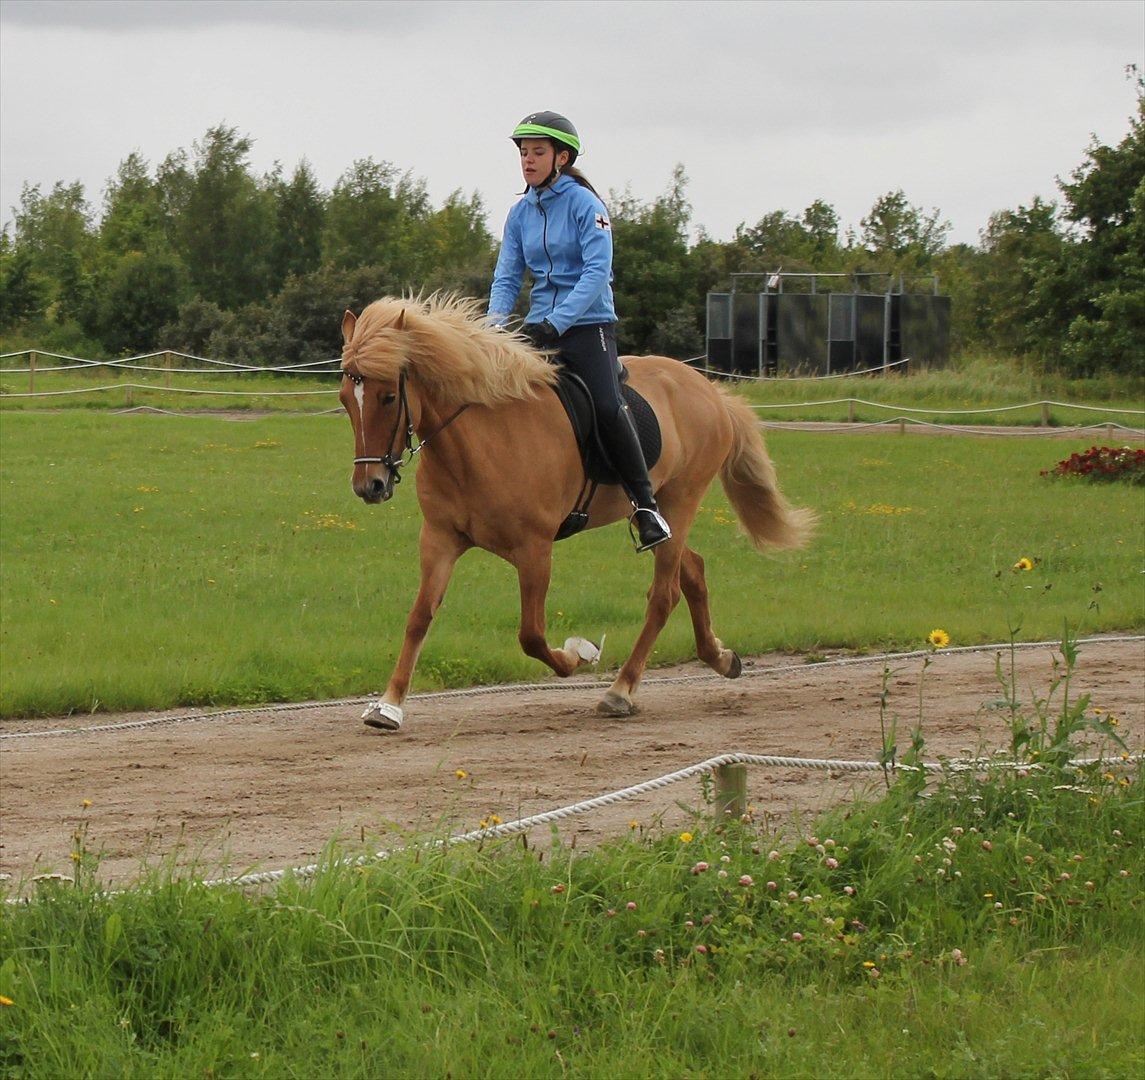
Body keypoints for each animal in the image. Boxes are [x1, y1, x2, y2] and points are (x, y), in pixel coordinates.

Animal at [338, 295, 815, 732]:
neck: (478, 442)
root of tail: (708, 389)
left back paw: (620, 691)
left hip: (683, 499)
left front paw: (579, 654)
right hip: (665, 514)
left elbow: (531, 636)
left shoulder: (535, 550)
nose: (369, 486)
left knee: (664, 596)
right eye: (345, 399)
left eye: (389, 396)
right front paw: (388, 705)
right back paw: (720, 657)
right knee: (693, 571)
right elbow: (419, 617)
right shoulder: (439, 539)